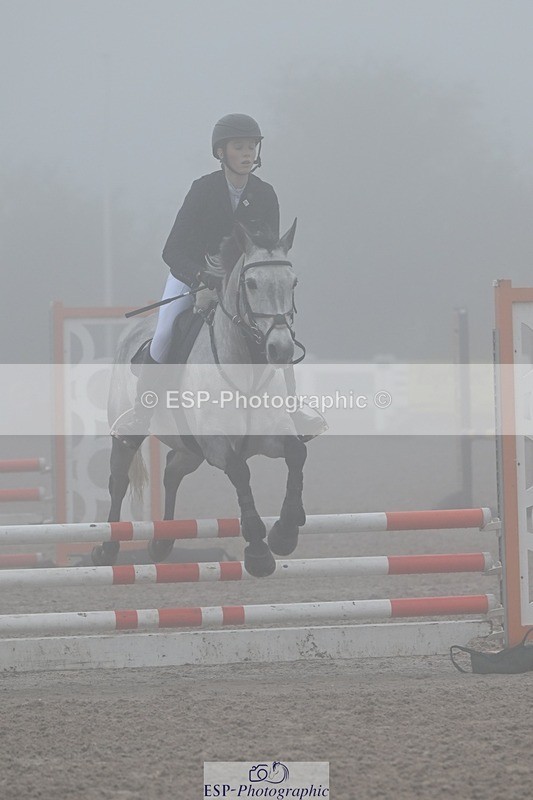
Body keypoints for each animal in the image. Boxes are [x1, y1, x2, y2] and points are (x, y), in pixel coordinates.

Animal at [92, 220, 309, 577]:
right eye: (251, 284)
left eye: (293, 282)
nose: (281, 349)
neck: (246, 369)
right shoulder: (217, 444)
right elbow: (240, 472)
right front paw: (259, 552)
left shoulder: (270, 438)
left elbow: (297, 454)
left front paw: (286, 532)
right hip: (129, 434)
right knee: (119, 479)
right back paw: (107, 549)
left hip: (189, 448)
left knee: (172, 470)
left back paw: (162, 542)